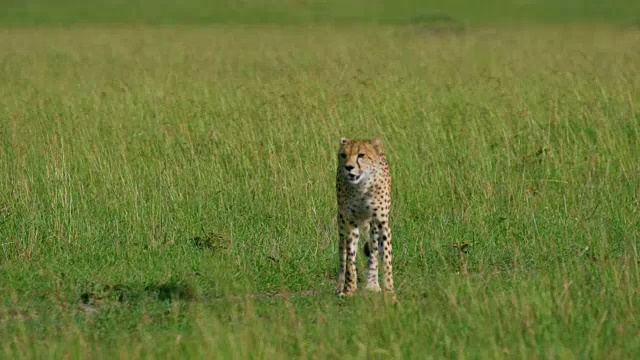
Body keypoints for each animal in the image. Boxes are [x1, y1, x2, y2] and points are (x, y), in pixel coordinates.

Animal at [336, 136, 396, 300]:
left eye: (361, 155)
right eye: (343, 155)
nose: (348, 167)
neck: (362, 187)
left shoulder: (382, 222)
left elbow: (385, 258)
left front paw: (389, 291)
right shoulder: (350, 222)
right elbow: (349, 260)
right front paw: (348, 289)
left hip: (373, 226)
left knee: (374, 251)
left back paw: (373, 284)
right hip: (341, 222)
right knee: (342, 253)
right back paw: (339, 285)